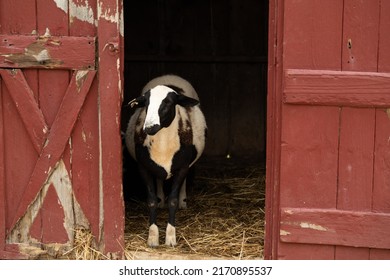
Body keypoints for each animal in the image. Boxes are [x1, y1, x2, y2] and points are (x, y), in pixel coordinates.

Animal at [126, 75, 209, 247]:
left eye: (169, 102)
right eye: (146, 103)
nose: (149, 127)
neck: (163, 143)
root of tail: (169, 76)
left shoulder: (182, 166)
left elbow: (173, 201)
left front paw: (171, 237)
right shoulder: (143, 167)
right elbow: (150, 201)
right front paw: (152, 237)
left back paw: (183, 201)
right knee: (159, 178)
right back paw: (160, 200)